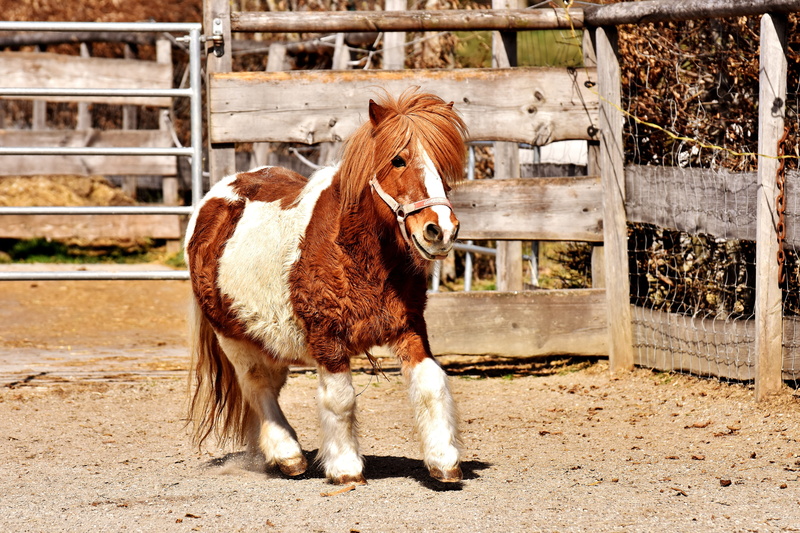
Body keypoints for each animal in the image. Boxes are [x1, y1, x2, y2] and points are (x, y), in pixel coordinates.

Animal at [185, 88, 468, 485]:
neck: (355, 253)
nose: (440, 230)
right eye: (398, 160)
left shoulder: (410, 328)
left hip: (269, 339)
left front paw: (444, 460)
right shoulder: (327, 339)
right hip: (234, 337)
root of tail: (214, 198)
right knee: (258, 387)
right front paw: (346, 468)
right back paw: (288, 455)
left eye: (443, 165)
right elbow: (341, 399)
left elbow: (431, 384)